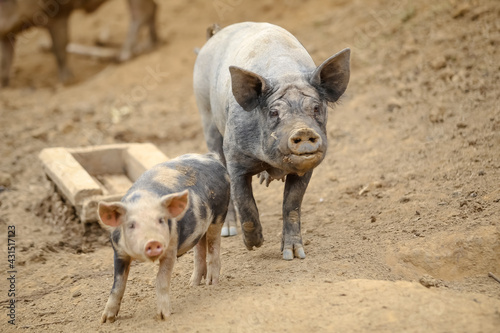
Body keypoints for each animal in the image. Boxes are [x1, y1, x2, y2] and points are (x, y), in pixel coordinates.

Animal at [97, 153, 230, 322]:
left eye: (161, 220)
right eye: (131, 225)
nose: (153, 242)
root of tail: (210, 157)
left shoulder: (171, 248)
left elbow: (161, 279)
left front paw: (163, 316)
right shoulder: (119, 252)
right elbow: (118, 285)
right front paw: (106, 320)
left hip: (219, 214)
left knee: (214, 244)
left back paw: (211, 284)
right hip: (200, 225)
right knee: (200, 247)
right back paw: (192, 284)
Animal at [193, 21, 350, 260]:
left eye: (315, 108)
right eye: (274, 112)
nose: (303, 130)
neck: (285, 75)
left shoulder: (306, 168)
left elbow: (292, 205)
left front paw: (294, 255)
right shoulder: (236, 158)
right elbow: (244, 202)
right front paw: (254, 245)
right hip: (206, 115)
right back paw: (229, 231)